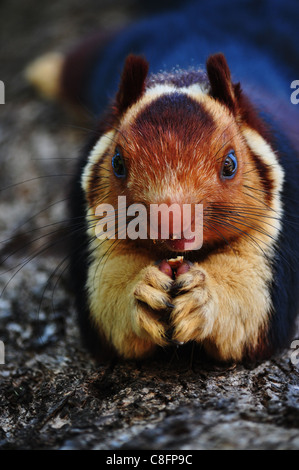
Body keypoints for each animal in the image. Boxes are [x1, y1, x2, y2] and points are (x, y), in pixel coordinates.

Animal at [25, 0, 299, 364]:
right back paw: (44, 68)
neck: (181, 75)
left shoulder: (279, 220)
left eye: (230, 164)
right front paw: (142, 293)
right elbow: (105, 305)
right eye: (117, 162)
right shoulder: (91, 221)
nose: (172, 226)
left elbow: (255, 306)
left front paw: (202, 298)